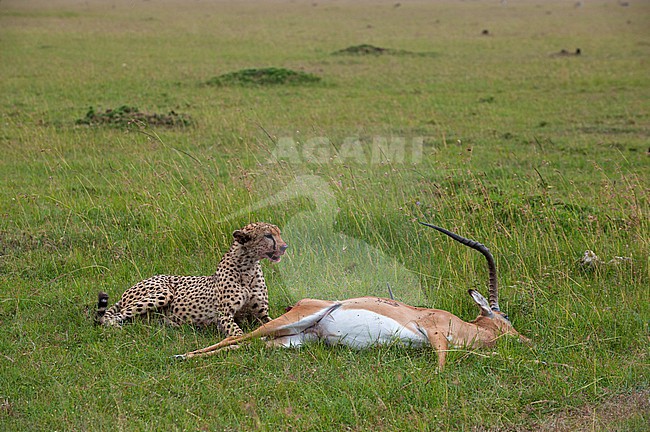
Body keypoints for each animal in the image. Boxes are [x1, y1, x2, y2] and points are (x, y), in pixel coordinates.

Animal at [95, 222, 288, 337]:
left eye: (278, 233)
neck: (248, 266)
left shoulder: (261, 314)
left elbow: (280, 322)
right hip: (162, 293)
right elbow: (238, 334)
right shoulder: (224, 316)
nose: (285, 247)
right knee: (112, 317)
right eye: (268, 235)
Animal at [176, 223, 530, 370]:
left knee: (248, 345)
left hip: (294, 340)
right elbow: (443, 362)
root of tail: (302, 303)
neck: (462, 326)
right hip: (289, 321)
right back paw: (182, 356)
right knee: (231, 338)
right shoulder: (433, 332)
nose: (526, 340)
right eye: (505, 316)